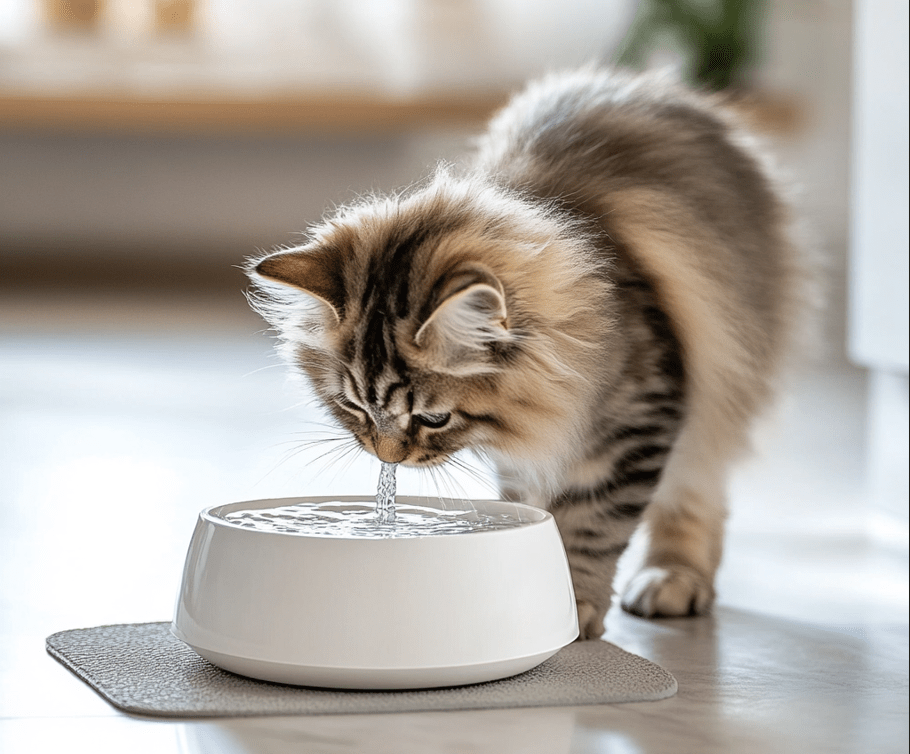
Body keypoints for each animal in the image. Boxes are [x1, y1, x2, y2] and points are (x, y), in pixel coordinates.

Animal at [248, 67, 804, 636]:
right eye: (353, 406)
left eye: (433, 418)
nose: (387, 456)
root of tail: (660, 86)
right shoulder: (529, 451)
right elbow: (539, 509)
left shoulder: (636, 422)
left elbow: (591, 525)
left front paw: (575, 602)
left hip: (720, 388)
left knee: (697, 489)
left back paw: (673, 576)